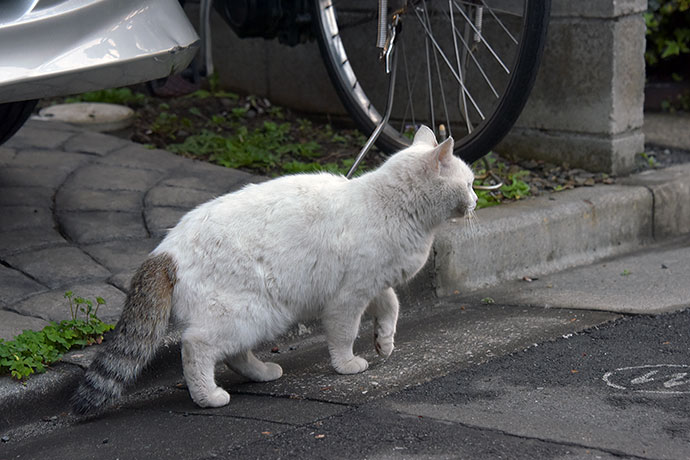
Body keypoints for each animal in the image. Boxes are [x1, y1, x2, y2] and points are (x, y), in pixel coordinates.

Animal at [72, 125, 476, 414]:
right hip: (252, 312)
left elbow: (392, 306)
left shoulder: (374, 284)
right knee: (196, 347)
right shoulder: (348, 298)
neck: (393, 207)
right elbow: (344, 334)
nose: (475, 199)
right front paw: (347, 364)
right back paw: (209, 396)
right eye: (470, 183)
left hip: (256, 316)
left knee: (233, 354)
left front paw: (385, 342)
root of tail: (163, 251)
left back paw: (263, 373)